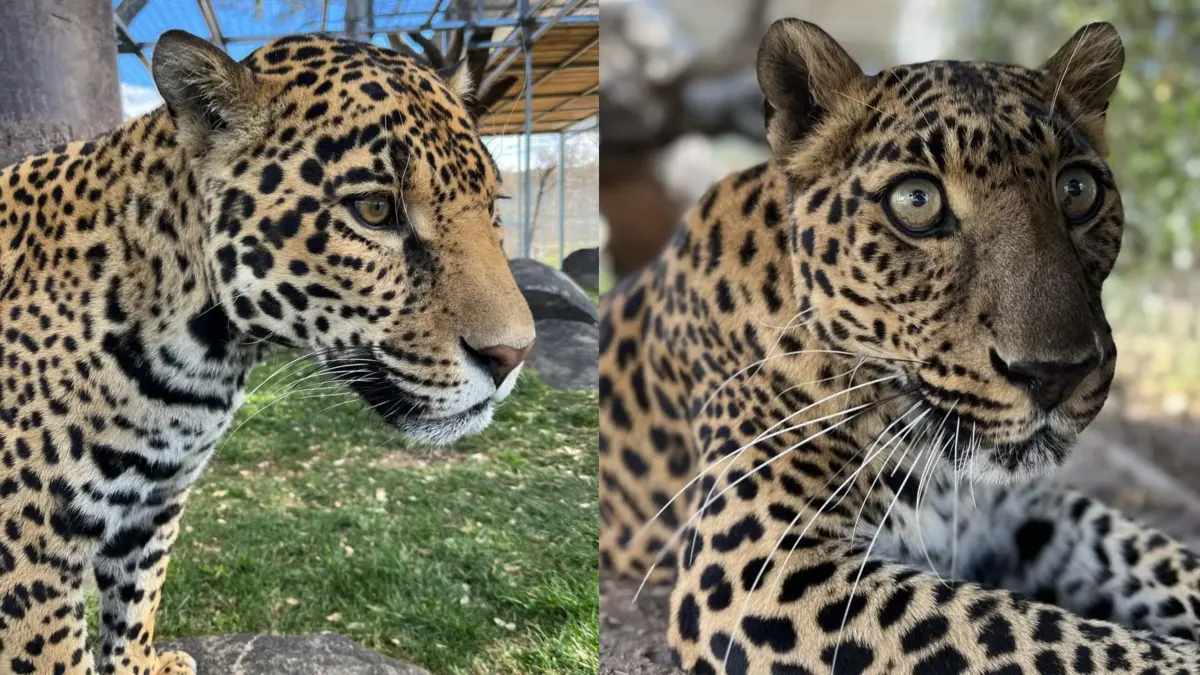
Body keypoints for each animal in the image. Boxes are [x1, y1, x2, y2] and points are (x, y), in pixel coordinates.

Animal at [0, 29, 534, 675]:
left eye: (492, 206)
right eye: (375, 210)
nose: (514, 355)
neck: (200, 365)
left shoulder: (156, 503)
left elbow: (136, 599)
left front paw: (140, 665)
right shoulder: (28, 558)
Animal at [599, 18, 1200, 675]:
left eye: (1077, 189)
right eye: (917, 201)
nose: (1056, 377)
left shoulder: (1029, 510)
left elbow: (1155, 557)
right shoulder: (759, 570)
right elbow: (1021, 627)